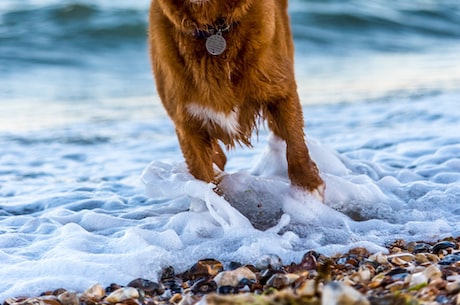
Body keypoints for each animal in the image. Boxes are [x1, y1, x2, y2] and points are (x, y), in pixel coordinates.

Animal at [149, 0, 326, 200]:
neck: (214, 28)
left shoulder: (282, 91)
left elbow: (295, 143)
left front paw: (308, 186)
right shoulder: (187, 124)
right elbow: (203, 178)